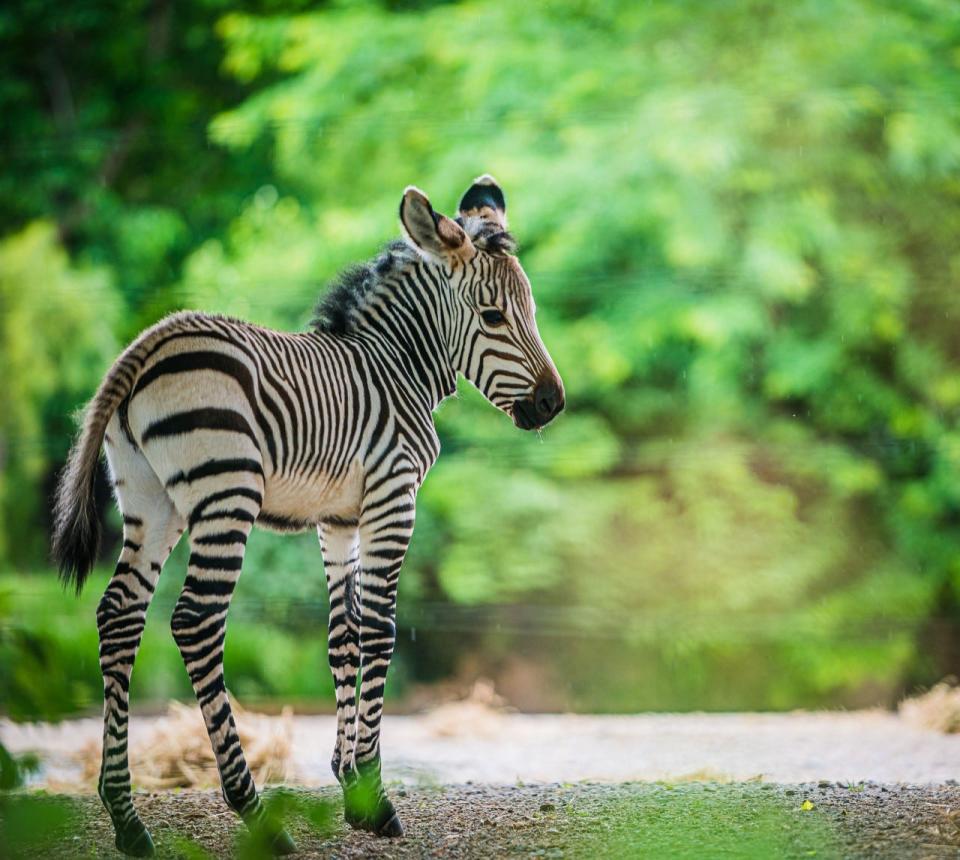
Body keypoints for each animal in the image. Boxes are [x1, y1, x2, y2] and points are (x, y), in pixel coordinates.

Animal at [52, 175, 564, 852]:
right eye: (494, 317)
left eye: (530, 312)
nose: (554, 403)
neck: (395, 367)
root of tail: (149, 343)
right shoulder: (392, 497)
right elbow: (379, 630)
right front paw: (376, 797)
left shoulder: (338, 519)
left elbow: (342, 633)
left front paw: (351, 787)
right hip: (226, 495)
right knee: (195, 622)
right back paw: (253, 810)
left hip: (149, 501)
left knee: (118, 615)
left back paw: (126, 818)